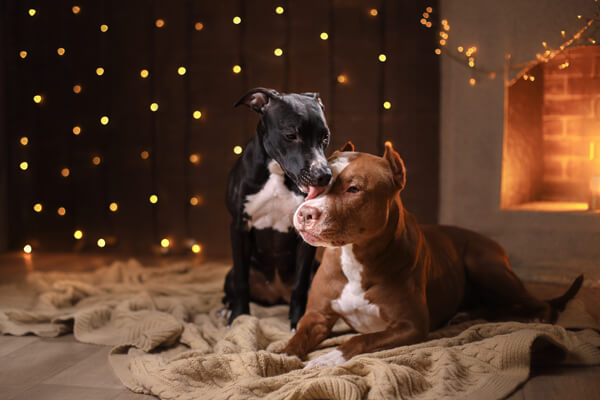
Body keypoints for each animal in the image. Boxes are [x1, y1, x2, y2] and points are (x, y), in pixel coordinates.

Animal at [223, 86, 332, 328]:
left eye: (325, 137)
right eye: (291, 135)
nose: (324, 175)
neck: (276, 171)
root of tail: (275, 293)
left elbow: (300, 285)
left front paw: (298, 322)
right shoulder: (239, 226)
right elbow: (242, 281)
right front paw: (239, 317)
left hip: (316, 270)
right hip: (230, 274)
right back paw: (226, 310)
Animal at [284, 142, 584, 368]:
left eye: (354, 189)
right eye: (315, 185)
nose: (305, 213)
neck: (354, 256)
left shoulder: (412, 325)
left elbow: (359, 340)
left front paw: (328, 358)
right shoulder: (316, 316)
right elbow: (294, 339)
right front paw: (281, 359)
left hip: (485, 266)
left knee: (537, 303)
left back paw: (536, 319)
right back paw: (467, 315)